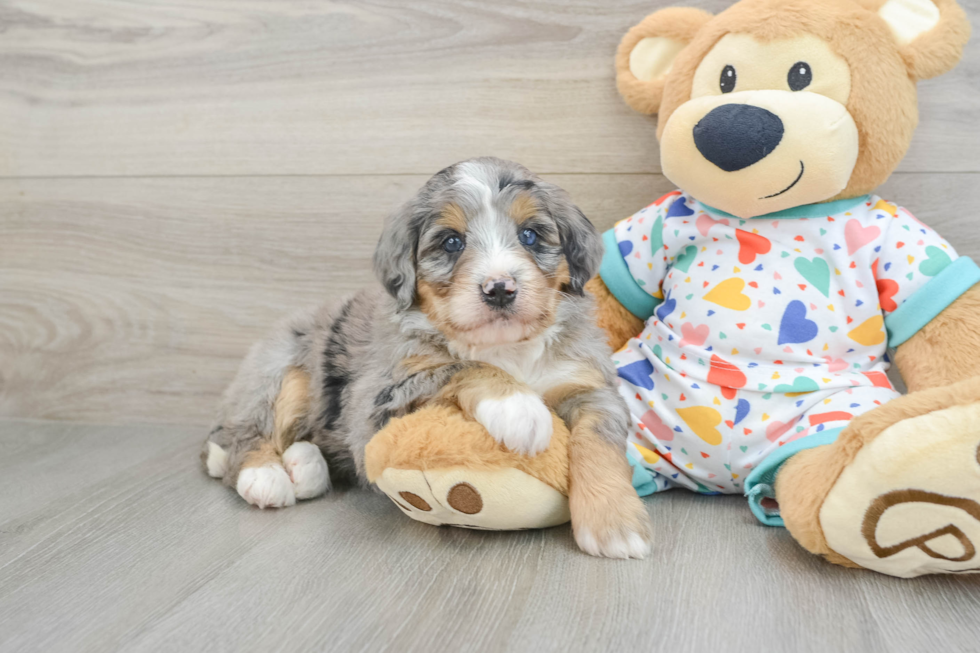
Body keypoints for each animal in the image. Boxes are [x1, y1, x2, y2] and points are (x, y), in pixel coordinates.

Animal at [204, 157, 656, 556]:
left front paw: (614, 525)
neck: (506, 348)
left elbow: (598, 441)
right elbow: (462, 366)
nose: (499, 288)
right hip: (282, 369)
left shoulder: (587, 383)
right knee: (247, 434)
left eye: (530, 235)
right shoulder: (375, 401)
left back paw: (305, 466)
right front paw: (518, 409)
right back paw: (264, 475)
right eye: (452, 242)